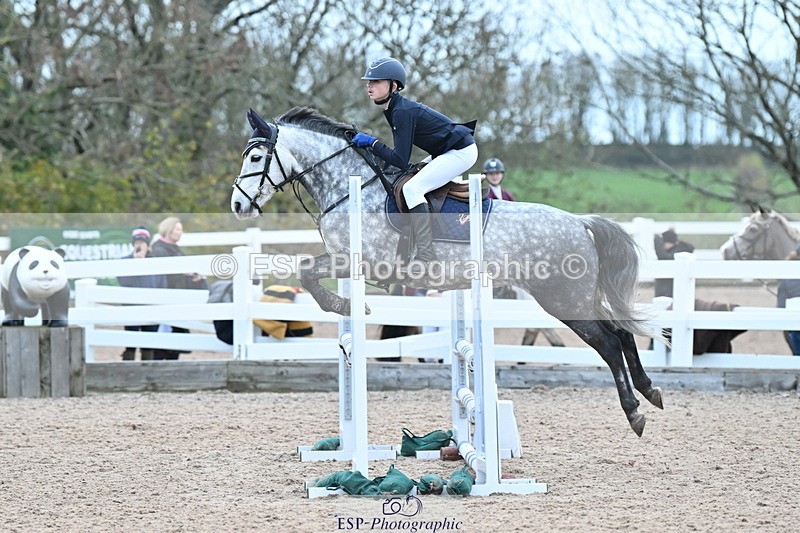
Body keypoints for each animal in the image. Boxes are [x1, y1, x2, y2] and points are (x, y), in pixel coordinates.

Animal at [231, 107, 663, 436]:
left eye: (255, 158)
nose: (237, 206)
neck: (351, 189)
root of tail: (579, 222)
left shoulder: (363, 260)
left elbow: (307, 274)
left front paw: (349, 306)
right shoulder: (340, 257)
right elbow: (307, 272)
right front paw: (346, 306)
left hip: (562, 297)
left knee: (608, 343)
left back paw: (634, 411)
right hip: (575, 294)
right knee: (622, 333)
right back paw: (650, 391)